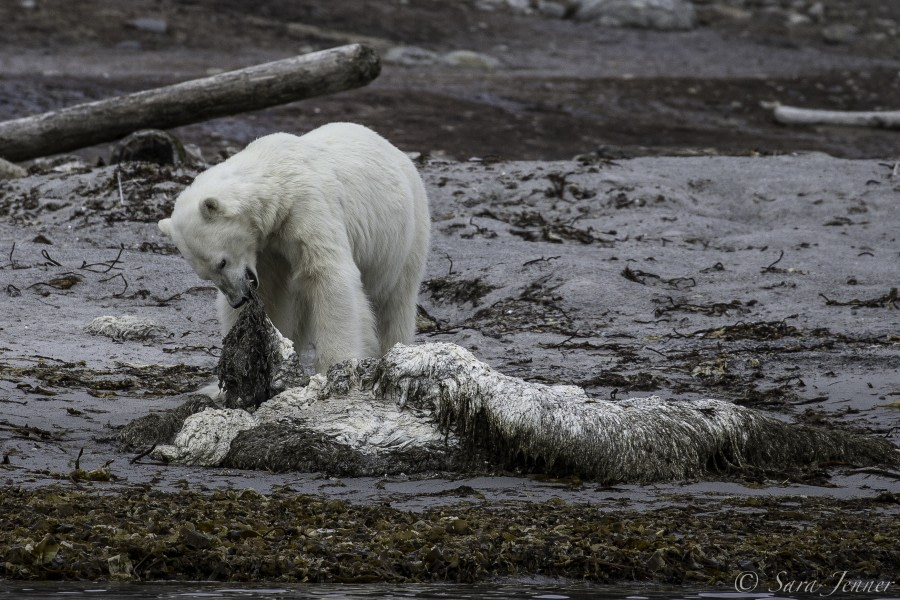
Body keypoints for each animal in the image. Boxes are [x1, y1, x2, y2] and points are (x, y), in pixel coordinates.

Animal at [156, 123, 430, 370]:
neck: (276, 183)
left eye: (221, 262)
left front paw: (334, 365)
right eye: (206, 275)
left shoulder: (307, 208)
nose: (238, 299)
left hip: (404, 233)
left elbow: (328, 276)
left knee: (395, 301)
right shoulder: (266, 248)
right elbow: (270, 294)